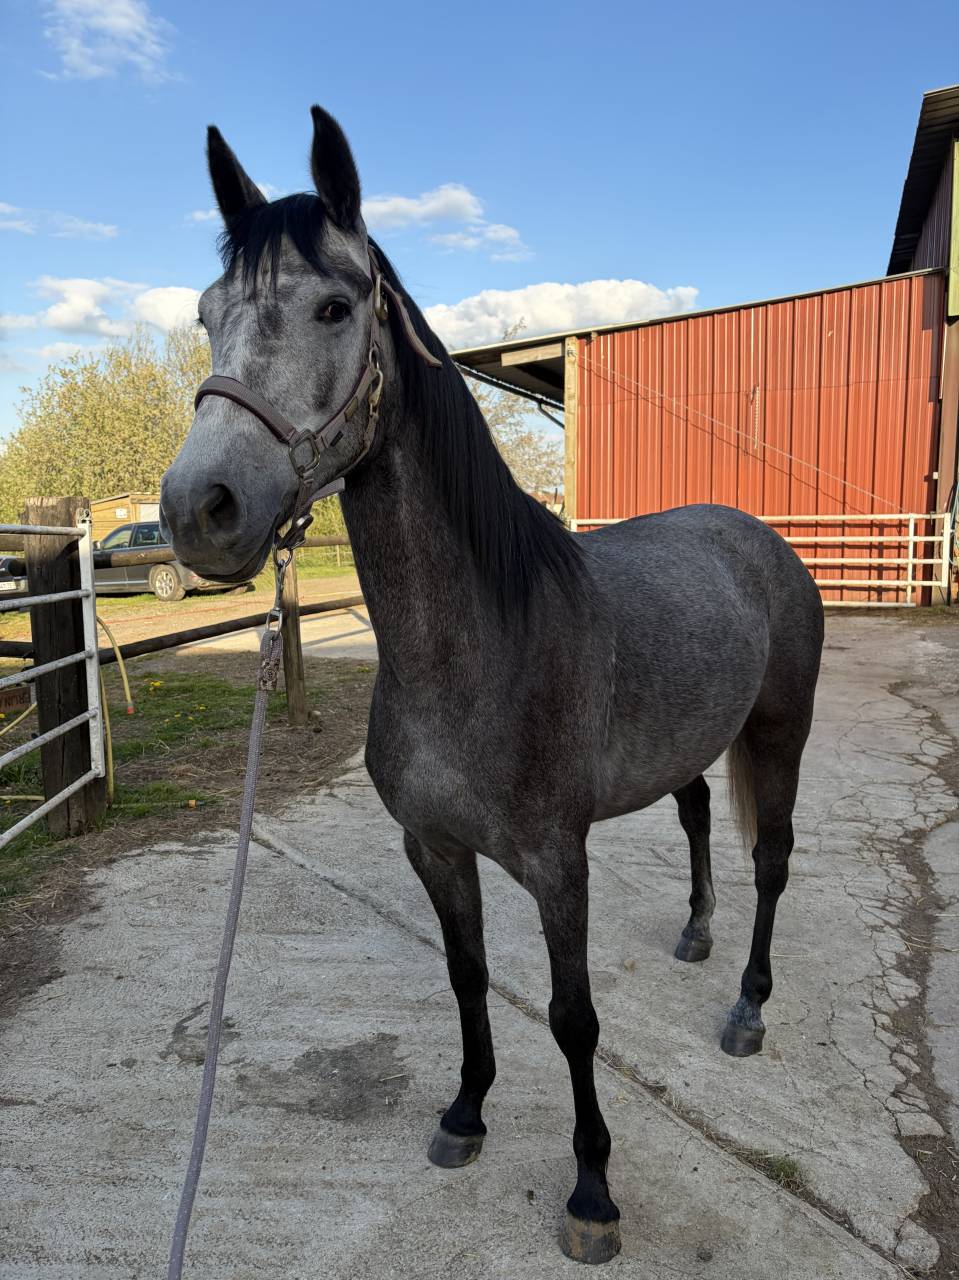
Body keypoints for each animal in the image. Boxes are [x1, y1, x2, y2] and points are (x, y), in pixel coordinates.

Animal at [159, 106, 824, 1265]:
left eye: (335, 306)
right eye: (206, 315)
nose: (199, 506)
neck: (474, 652)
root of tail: (758, 538)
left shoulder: (560, 865)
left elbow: (571, 1016)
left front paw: (592, 1192)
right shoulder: (433, 847)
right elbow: (465, 975)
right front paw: (465, 1111)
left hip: (779, 735)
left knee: (771, 861)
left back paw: (745, 1007)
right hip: (691, 741)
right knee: (699, 812)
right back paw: (696, 933)